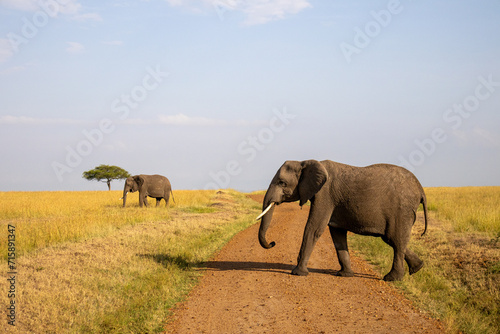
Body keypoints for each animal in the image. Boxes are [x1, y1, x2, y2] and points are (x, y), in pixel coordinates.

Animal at [256, 160, 428, 280]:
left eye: (282, 183)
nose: (273, 243)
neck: (305, 162)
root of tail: (420, 189)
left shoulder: (325, 195)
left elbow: (314, 228)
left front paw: (297, 273)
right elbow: (337, 234)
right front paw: (344, 274)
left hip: (402, 209)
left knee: (395, 239)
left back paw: (392, 279)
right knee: (392, 239)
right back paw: (418, 268)